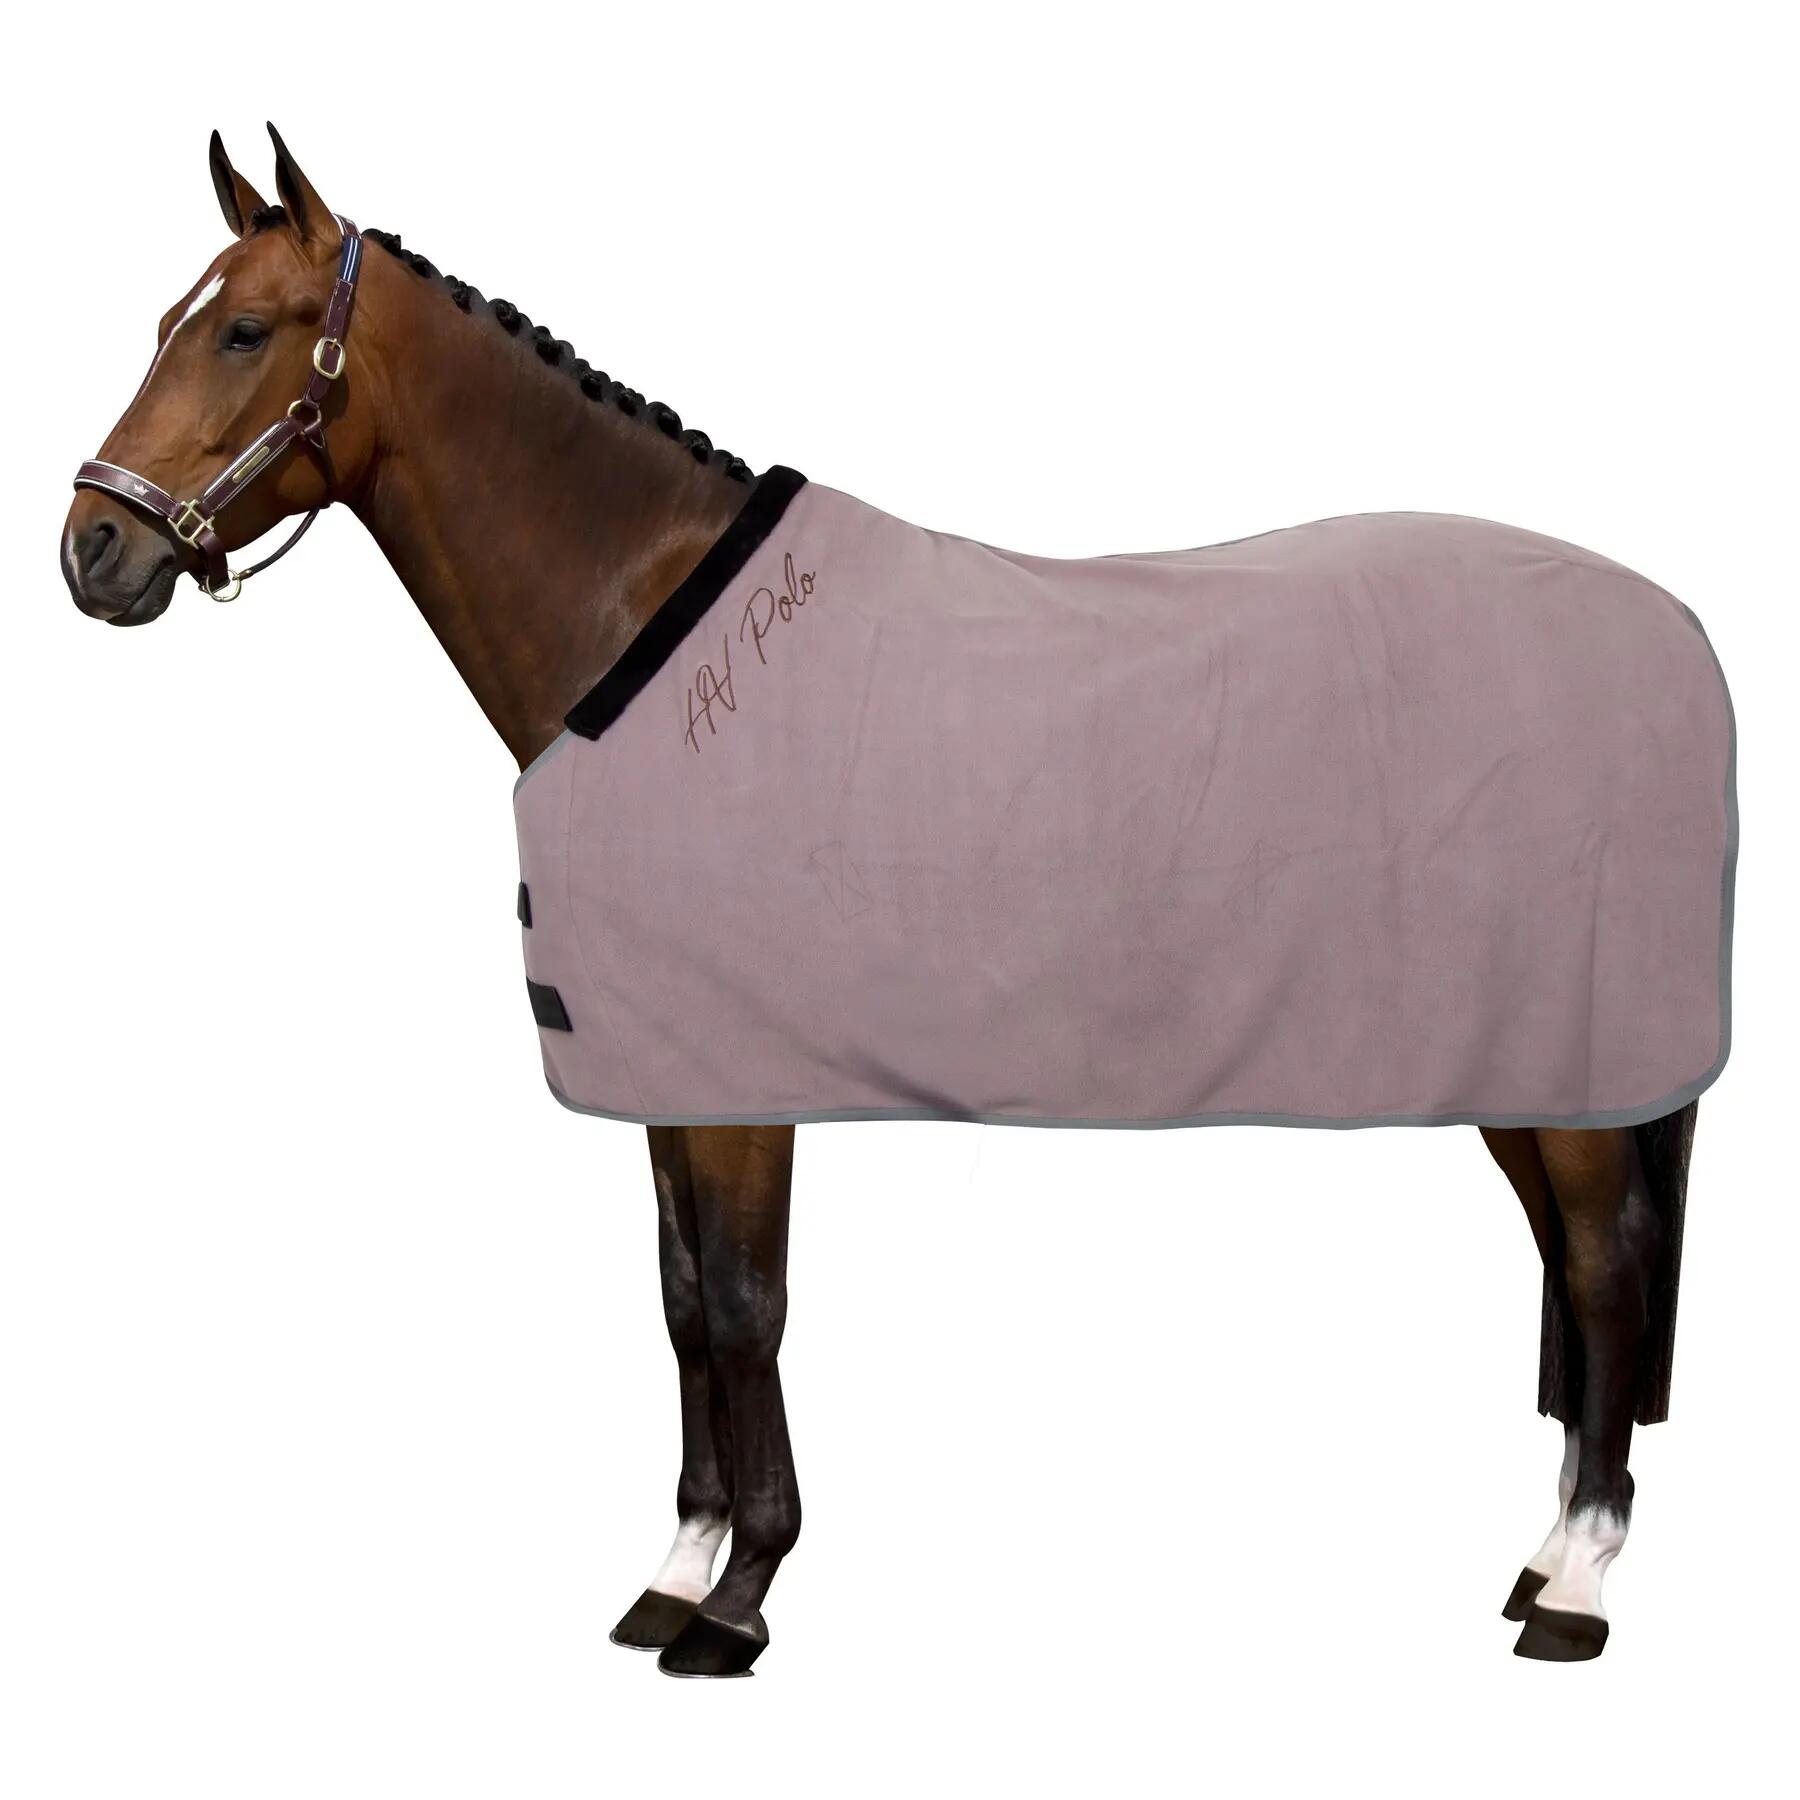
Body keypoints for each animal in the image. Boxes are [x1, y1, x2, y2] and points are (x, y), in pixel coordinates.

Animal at [60, 127, 1733, 1676]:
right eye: (167, 319)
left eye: (245, 329)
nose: (94, 548)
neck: (635, 621)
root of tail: (1671, 630)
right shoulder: (667, 1073)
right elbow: (680, 1300)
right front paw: (676, 1567)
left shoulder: (740, 1085)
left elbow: (745, 1305)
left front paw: (738, 1601)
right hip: (1523, 1065)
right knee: (1580, 1271)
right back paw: (1544, 1556)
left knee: (1603, 1264)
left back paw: (1577, 1591)